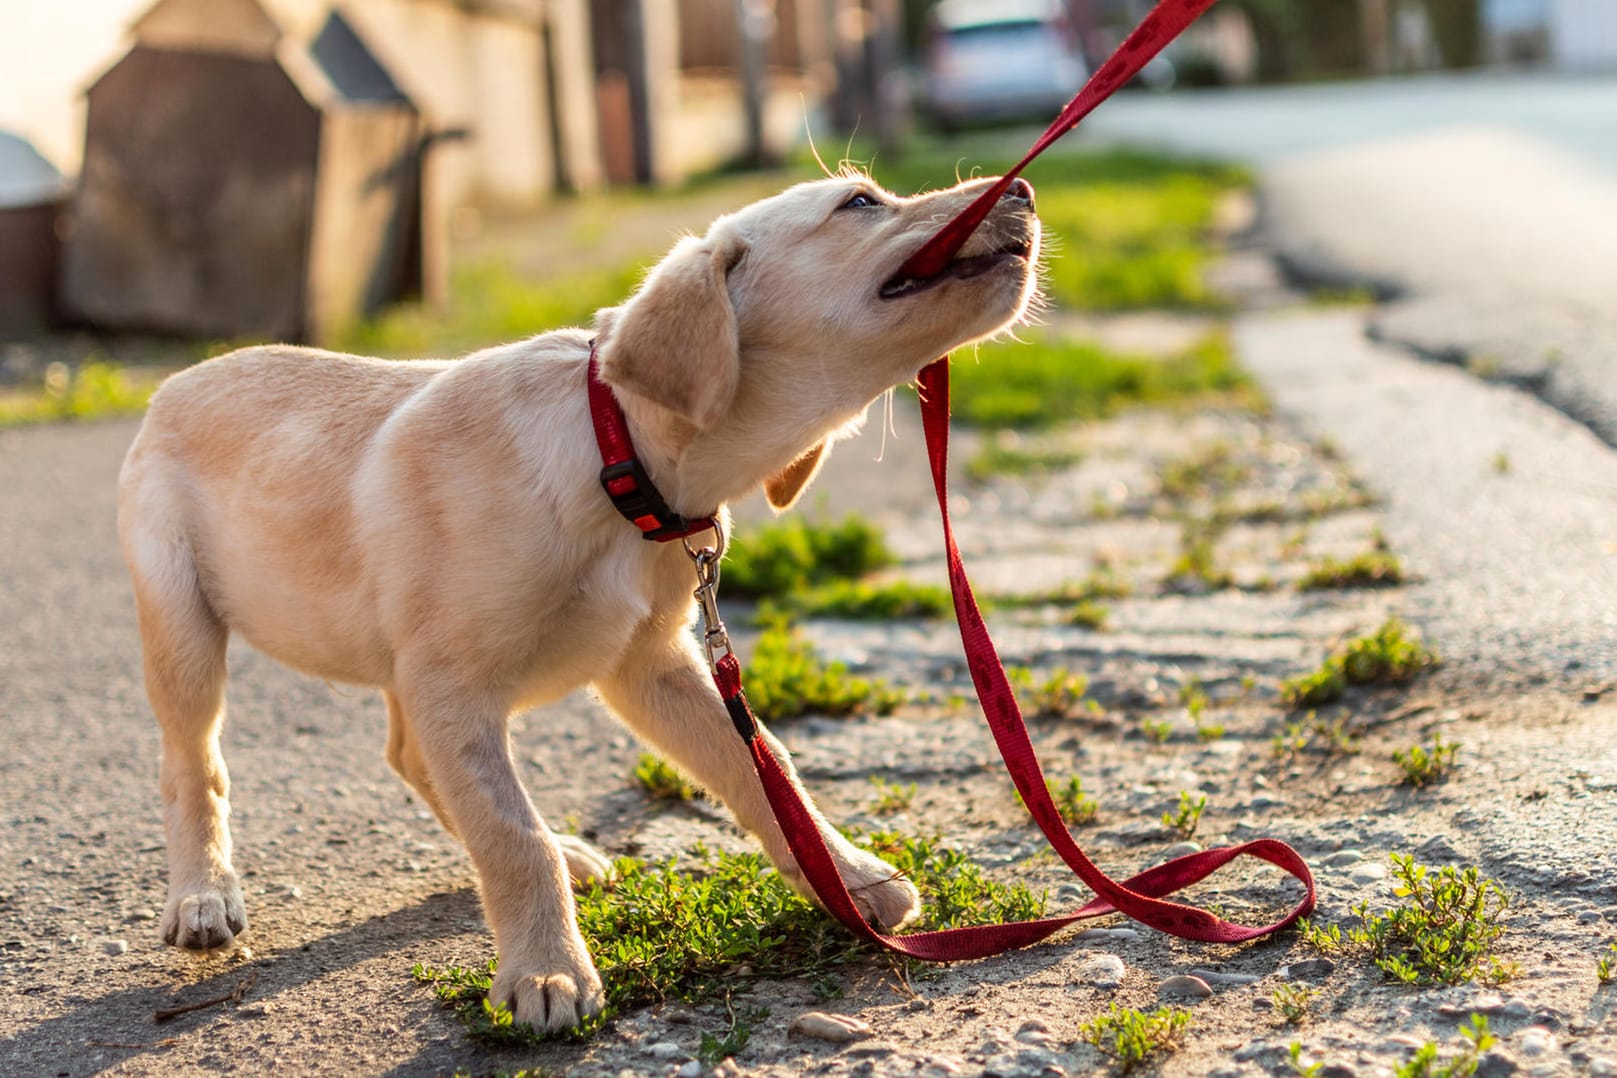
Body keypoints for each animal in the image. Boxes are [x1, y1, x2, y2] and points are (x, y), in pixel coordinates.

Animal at [119, 172, 1041, 1034]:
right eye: (859, 203)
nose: (1025, 188)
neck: (616, 459)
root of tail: (178, 379)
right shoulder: (455, 682)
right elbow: (510, 834)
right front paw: (546, 972)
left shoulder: (649, 665)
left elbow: (763, 765)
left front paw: (847, 877)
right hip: (185, 628)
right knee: (192, 763)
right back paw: (203, 896)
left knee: (410, 757)